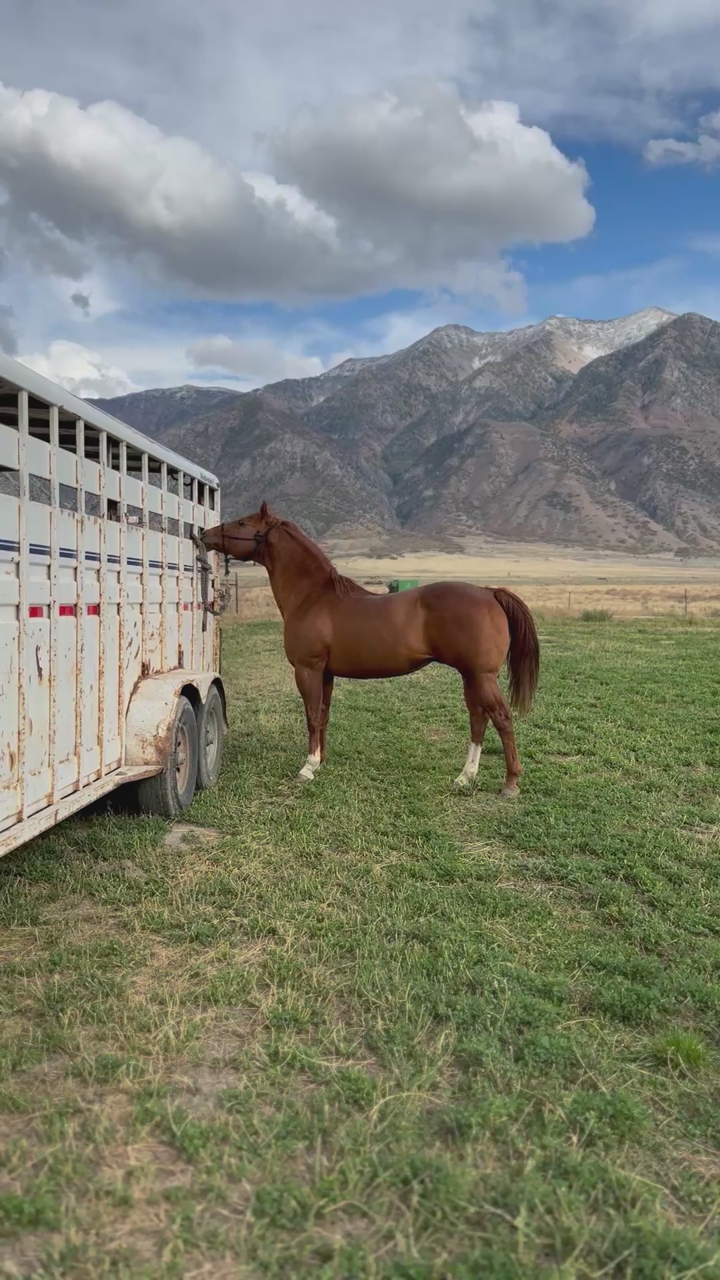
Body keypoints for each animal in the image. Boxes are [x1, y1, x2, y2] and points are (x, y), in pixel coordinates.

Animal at [202, 504, 540, 796]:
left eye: (242, 523)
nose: (204, 534)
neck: (312, 596)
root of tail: (488, 592)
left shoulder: (307, 669)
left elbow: (311, 714)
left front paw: (307, 768)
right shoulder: (326, 673)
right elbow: (323, 715)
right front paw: (320, 761)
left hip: (482, 676)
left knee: (502, 718)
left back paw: (510, 783)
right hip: (471, 676)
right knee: (478, 718)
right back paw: (465, 776)